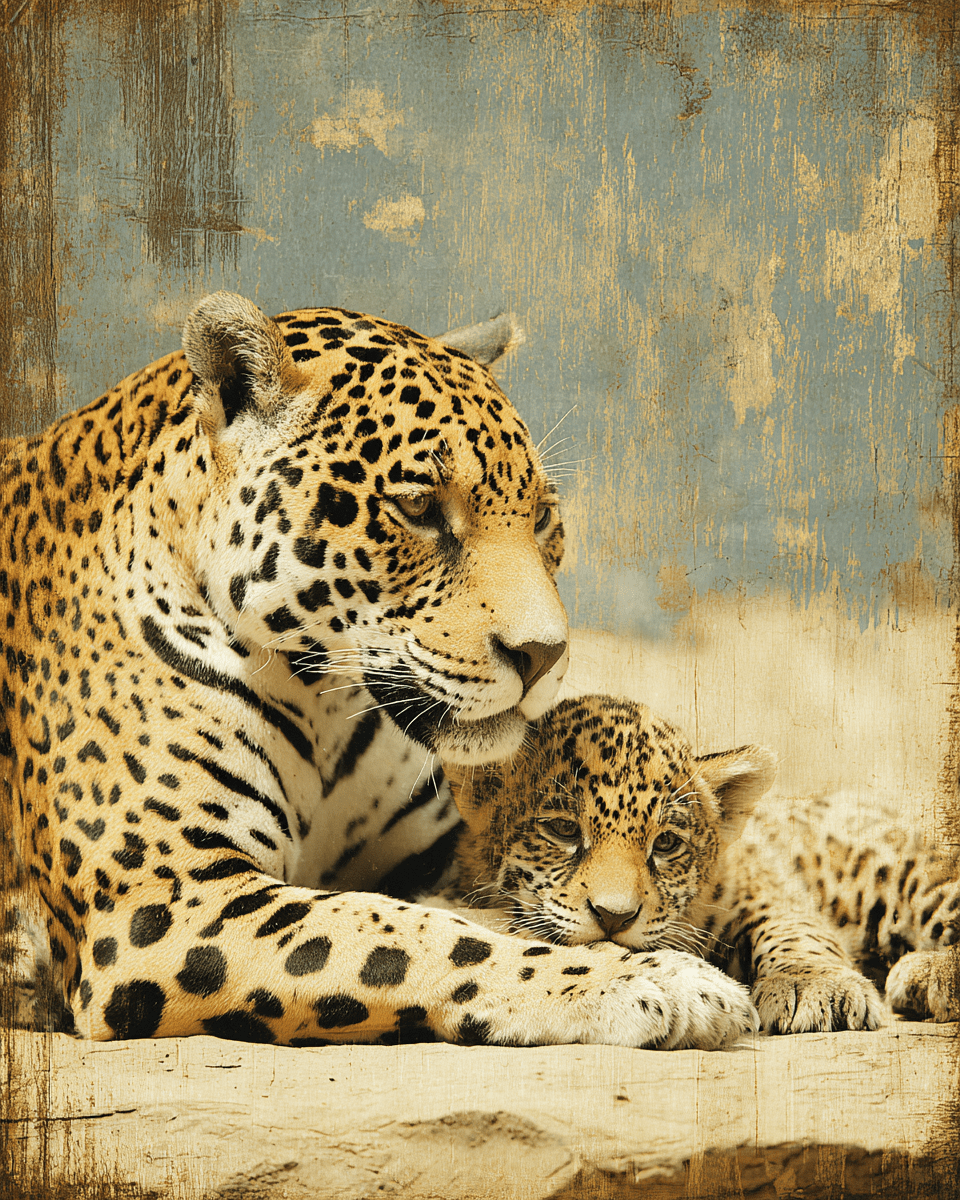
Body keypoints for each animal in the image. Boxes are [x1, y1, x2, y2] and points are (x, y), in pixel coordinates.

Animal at [0, 292, 757, 1050]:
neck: (323, 704)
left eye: (544, 517)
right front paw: (660, 981)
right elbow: (415, 934)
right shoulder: (166, 902)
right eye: (419, 508)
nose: (544, 654)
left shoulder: (445, 847)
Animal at [431, 693, 960, 1035]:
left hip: (902, 873)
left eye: (666, 843)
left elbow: (794, 927)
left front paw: (815, 987)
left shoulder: (760, 879)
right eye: (562, 830)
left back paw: (927, 975)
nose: (615, 917)